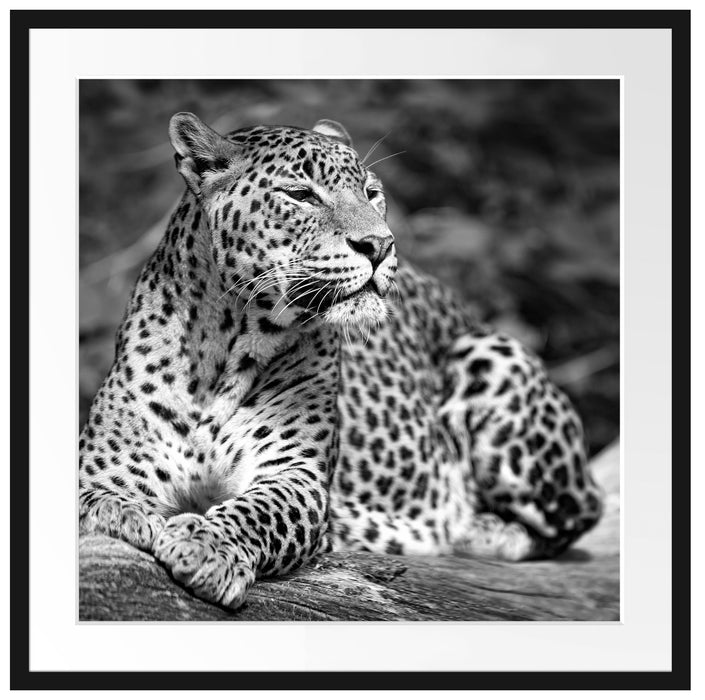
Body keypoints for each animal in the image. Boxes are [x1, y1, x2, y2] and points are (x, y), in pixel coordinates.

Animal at [79, 112, 604, 610]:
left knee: (580, 514)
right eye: (300, 195)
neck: (224, 346)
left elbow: (256, 512)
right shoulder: (104, 464)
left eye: (372, 193)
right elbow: (95, 497)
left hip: (492, 354)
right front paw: (122, 513)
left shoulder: (297, 476)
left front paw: (205, 546)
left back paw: (477, 529)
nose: (381, 245)